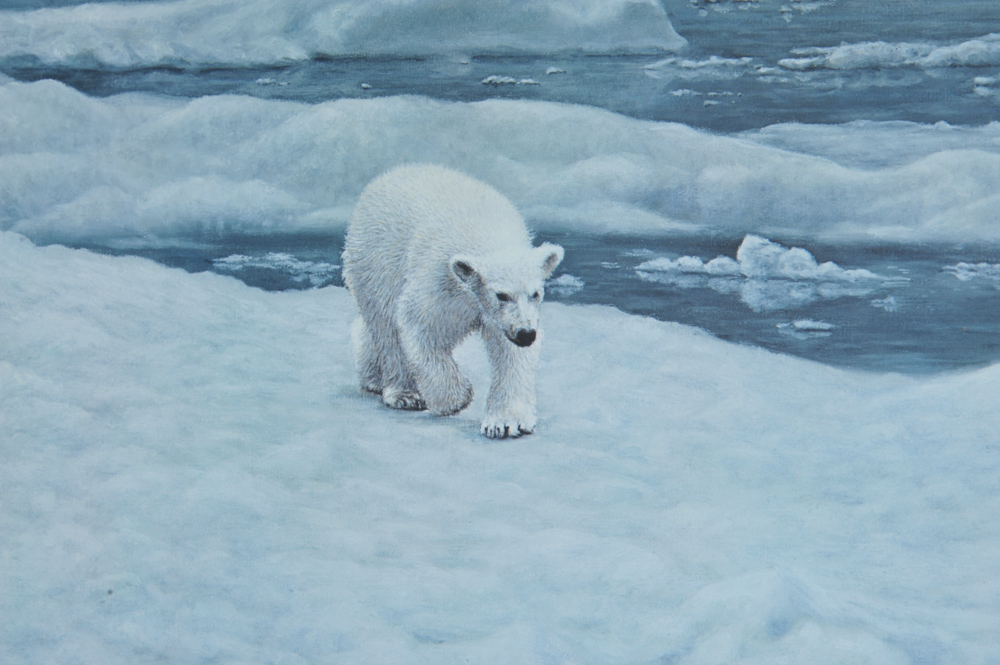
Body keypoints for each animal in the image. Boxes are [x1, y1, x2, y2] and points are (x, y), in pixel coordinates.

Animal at [341, 164, 564, 439]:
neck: (487, 233)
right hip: (377, 257)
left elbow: (509, 352)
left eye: (536, 293)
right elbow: (416, 322)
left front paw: (506, 422)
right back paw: (403, 393)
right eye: (501, 295)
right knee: (384, 322)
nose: (525, 334)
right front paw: (457, 398)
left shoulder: (506, 316)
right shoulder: (440, 281)